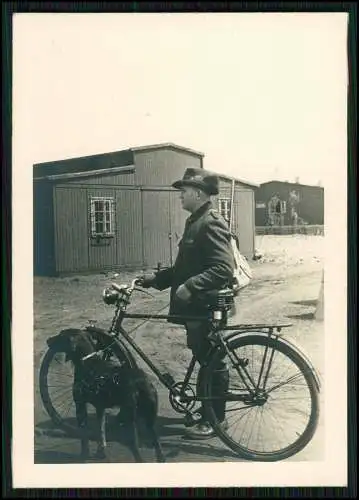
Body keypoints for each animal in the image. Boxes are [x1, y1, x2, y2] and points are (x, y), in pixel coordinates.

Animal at [48, 330, 165, 462]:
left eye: (61, 335)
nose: (47, 340)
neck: (88, 361)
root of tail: (140, 382)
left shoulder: (80, 406)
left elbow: (84, 436)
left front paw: (84, 455)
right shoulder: (100, 408)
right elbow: (101, 432)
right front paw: (101, 453)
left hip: (128, 420)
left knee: (136, 451)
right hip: (149, 419)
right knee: (156, 443)